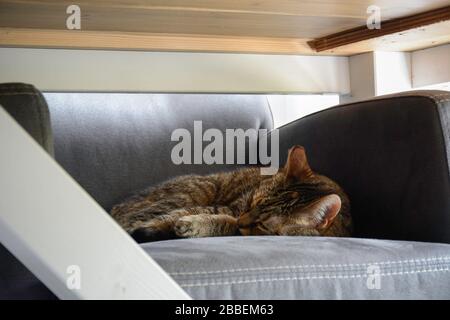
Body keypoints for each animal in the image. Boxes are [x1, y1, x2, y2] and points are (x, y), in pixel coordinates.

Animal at [110, 146, 350, 242]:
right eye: (252, 201)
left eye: (263, 225)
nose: (243, 220)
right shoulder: (232, 207)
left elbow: (224, 222)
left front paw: (194, 225)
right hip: (196, 190)